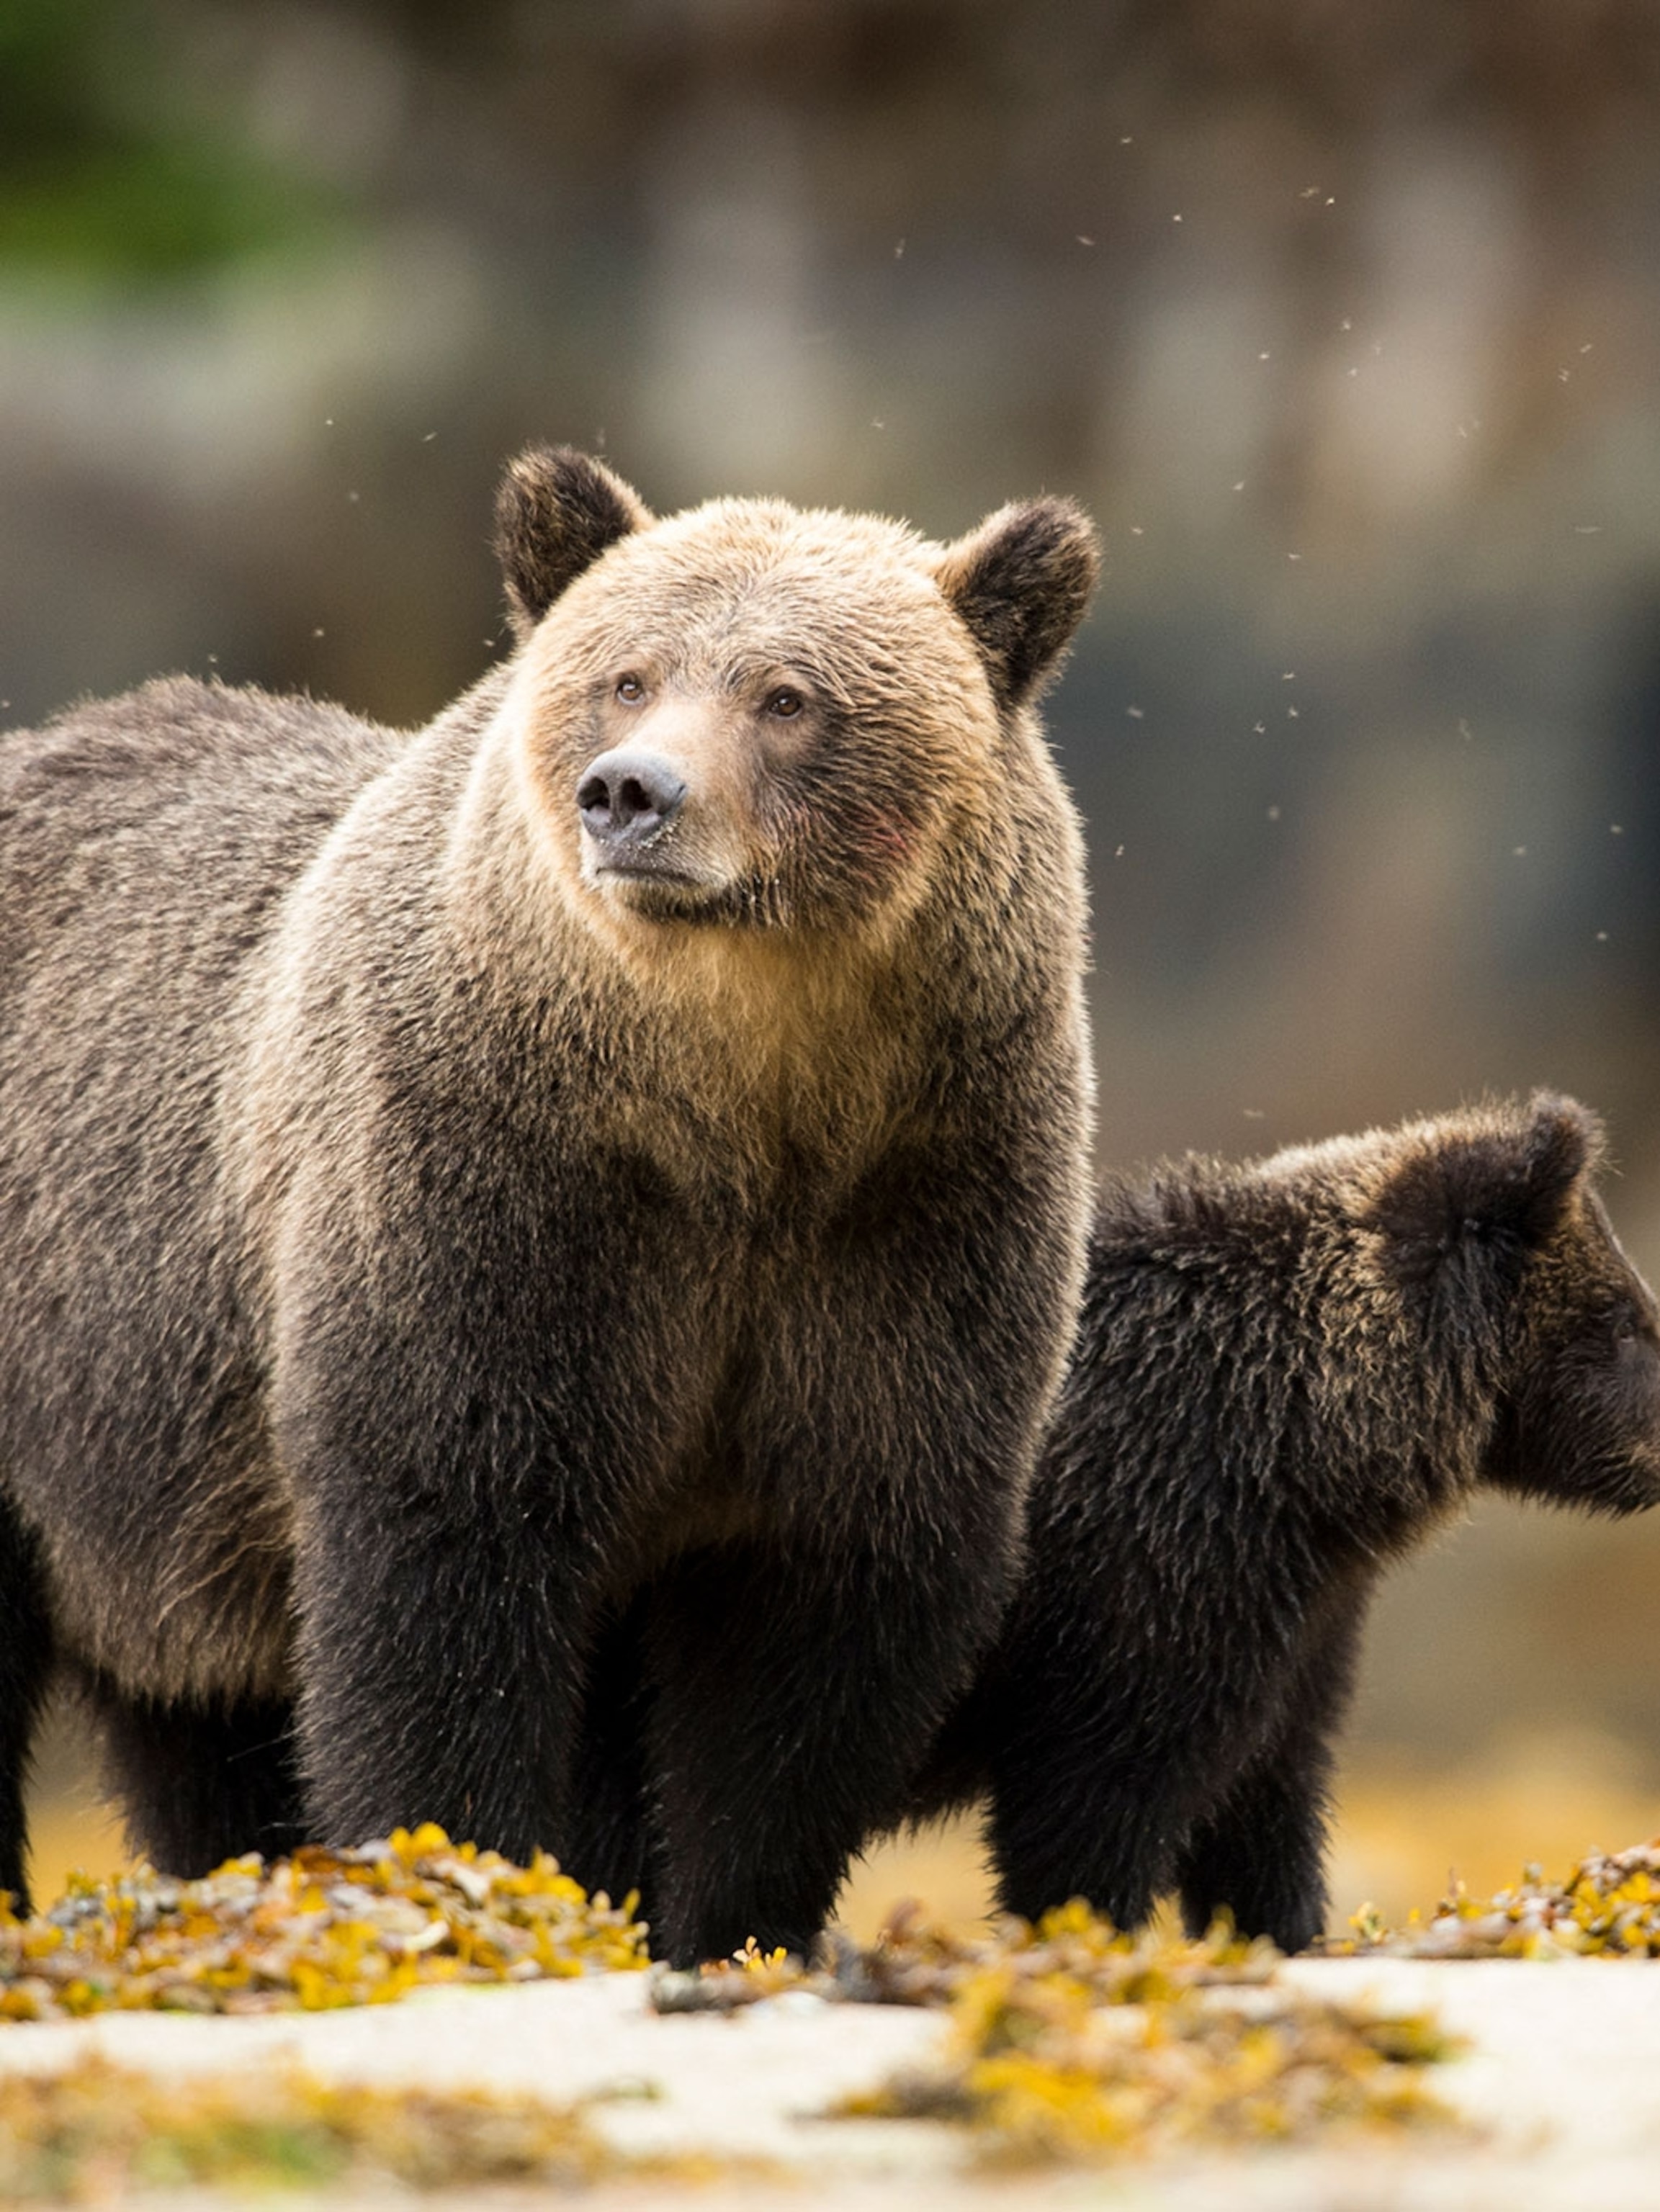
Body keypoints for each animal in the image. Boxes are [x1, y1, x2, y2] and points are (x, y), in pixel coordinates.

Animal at [0, 446, 1101, 1966]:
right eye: (628, 675)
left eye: (788, 695)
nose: (631, 794)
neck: (737, 1121)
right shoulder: (490, 1190)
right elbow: (450, 1550)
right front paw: (463, 1870)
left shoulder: (915, 1213)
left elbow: (825, 1598)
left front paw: (731, 1915)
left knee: (191, 1726)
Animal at [910, 1092, 1660, 1953]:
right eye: (1626, 1320)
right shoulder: (1150, 1574)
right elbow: (1092, 1809)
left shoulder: (1298, 1616)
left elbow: (1266, 1800)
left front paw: (1284, 1929)